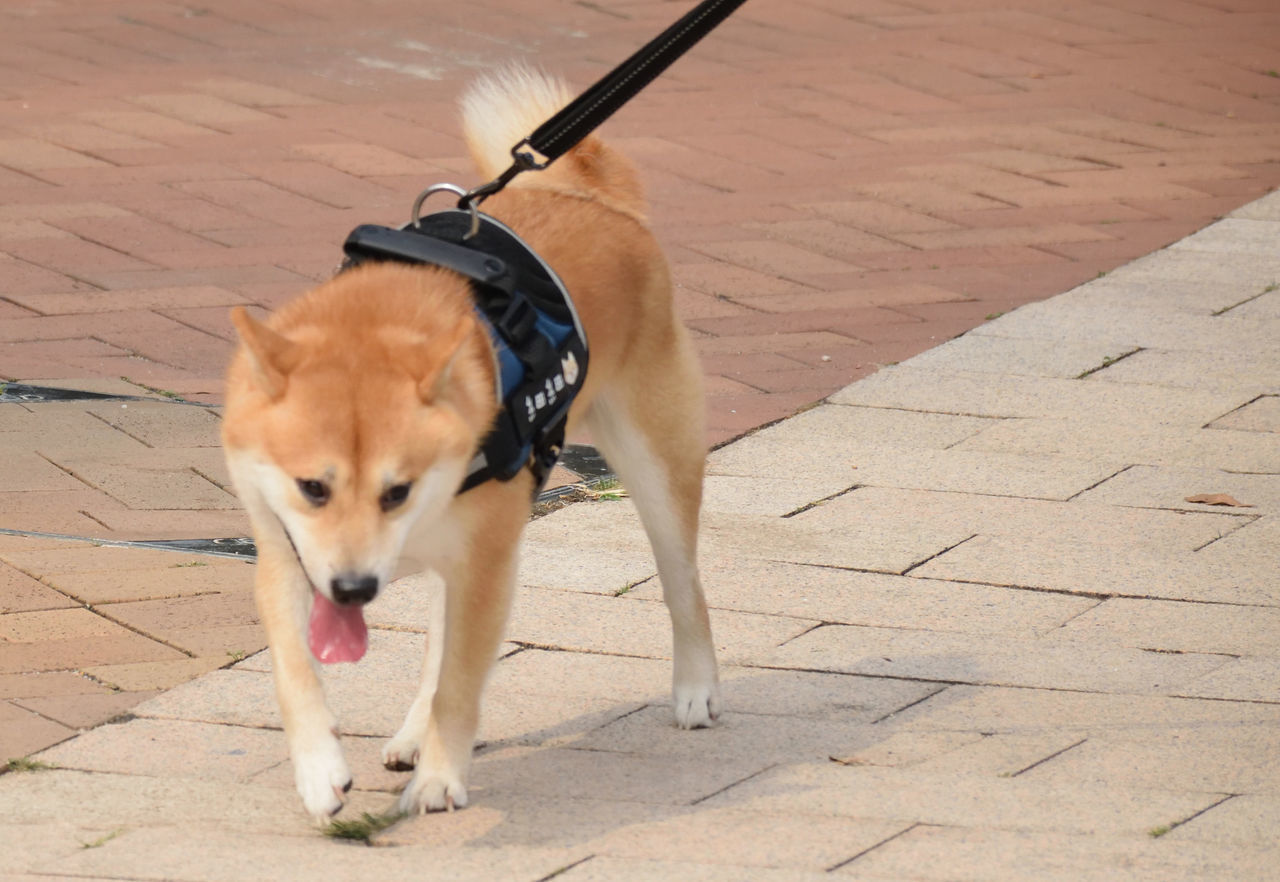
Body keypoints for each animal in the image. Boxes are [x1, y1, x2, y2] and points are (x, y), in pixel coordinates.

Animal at [221, 67, 721, 819]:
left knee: (683, 584)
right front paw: (318, 769)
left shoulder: (484, 561)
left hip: (656, 464)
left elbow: (460, 683)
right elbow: (294, 669)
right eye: (312, 487)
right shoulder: (285, 553)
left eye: (395, 490)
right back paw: (409, 732)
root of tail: (583, 197)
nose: (354, 589)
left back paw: (696, 689)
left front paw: (438, 779)